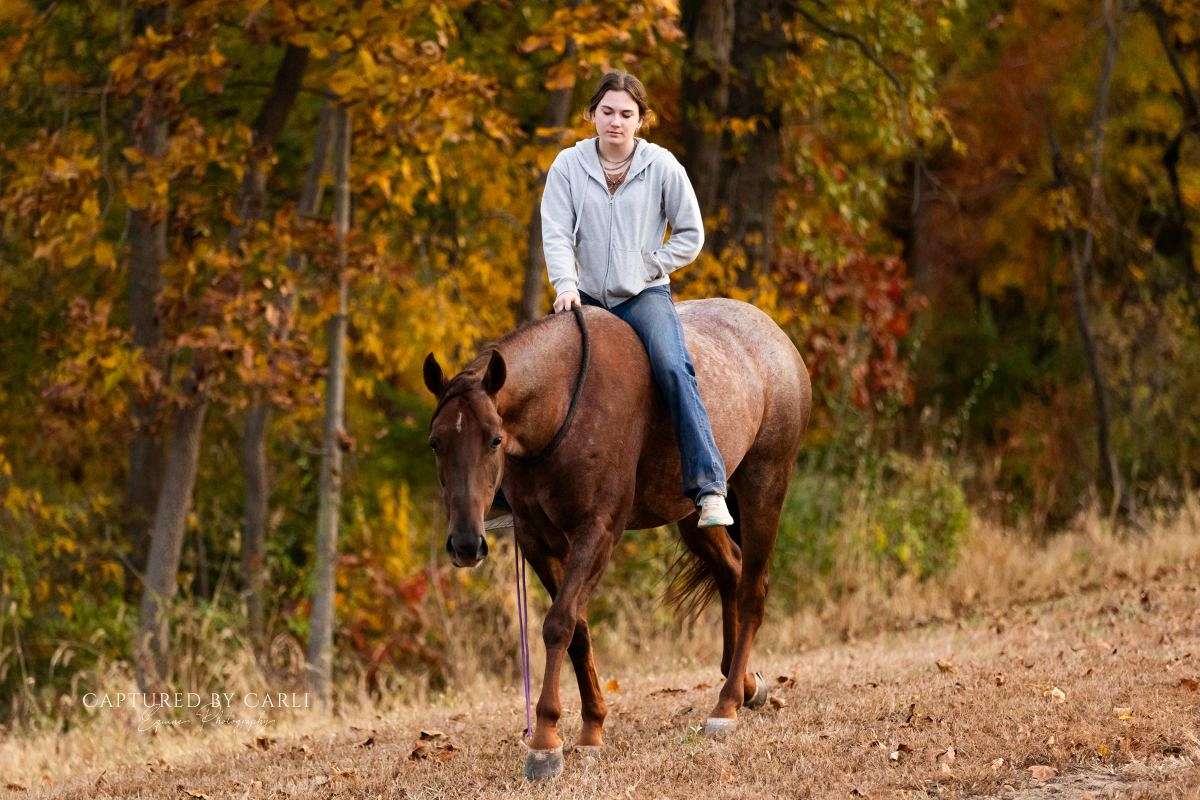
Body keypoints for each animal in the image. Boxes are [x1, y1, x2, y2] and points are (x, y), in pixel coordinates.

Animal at [422, 298, 811, 780]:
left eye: (494, 439)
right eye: (436, 442)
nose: (464, 544)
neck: (563, 407)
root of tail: (774, 336)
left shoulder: (598, 530)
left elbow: (559, 623)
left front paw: (545, 742)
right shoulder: (537, 540)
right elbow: (577, 629)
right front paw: (591, 728)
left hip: (764, 486)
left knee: (753, 590)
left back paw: (724, 709)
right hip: (692, 517)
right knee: (732, 573)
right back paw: (742, 686)